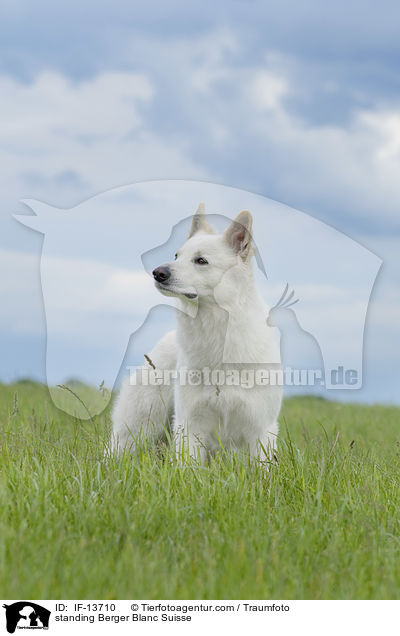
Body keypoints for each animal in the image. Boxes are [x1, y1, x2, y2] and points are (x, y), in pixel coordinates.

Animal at [111, 204, 282, 462]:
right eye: (176, 256)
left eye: (201, 261)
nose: (157, 272)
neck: (218, 333)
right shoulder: (190, 424)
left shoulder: (261, 429)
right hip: (137, 429)